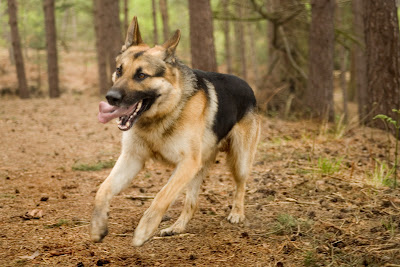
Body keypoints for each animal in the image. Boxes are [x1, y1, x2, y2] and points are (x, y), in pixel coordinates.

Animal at [90, 16, 260, 247]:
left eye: (141, 75)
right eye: (119, 70)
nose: (110, 98)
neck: (166, 111)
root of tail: (248, 86)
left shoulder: (186, 163)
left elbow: (161, 197)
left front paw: (143, 231)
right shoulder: (132, 159)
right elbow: (103, 189)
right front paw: (98, 226)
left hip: (238, 161)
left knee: (241, 185)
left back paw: (237, 213)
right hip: (197, 170)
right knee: (192, 204)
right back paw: (176, 228)